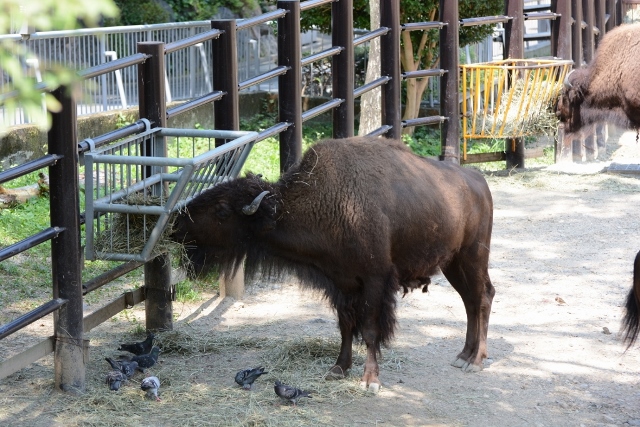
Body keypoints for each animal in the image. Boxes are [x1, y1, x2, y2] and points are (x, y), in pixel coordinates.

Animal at [172, 136, 498, 392]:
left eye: (222, 211)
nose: (176, 224)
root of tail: (479, 182)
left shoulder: (375, 280)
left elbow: (369, 330)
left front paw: (370, 381)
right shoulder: (341, 283)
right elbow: (345, 326)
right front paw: (338, 369)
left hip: (472, 257)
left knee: (482, 297)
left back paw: (475, 361)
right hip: (453, 264)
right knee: (470, 301)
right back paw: (463, 356)